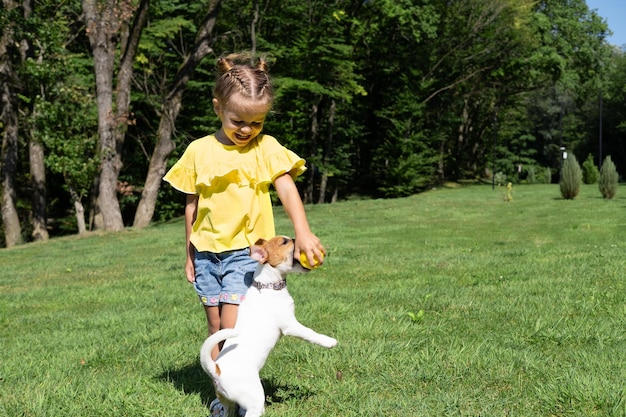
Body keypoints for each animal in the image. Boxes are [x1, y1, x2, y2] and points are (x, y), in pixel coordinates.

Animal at [200, 236, 336, 414]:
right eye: (285, 242)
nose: (297, 239)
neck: (268, 286)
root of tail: (217, 370)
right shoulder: (290, 325)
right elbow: (311, 333)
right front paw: (329, 341)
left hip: (227, 403)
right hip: (255, 399)